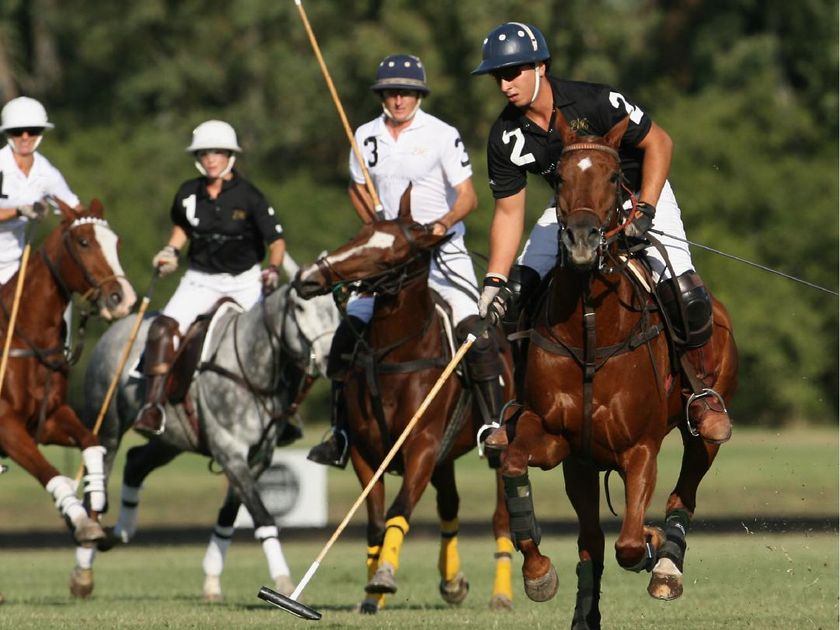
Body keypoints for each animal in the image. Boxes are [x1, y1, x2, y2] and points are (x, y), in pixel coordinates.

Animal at [0, 199, 136, 549]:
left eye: (116, 243)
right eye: (83, 242)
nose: (123, 298)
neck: (28, 338)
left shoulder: (47, 419)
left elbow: (90, 441)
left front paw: (96, 505)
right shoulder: (6, 426)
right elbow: (52, 473)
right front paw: (81, 522)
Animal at [74, 255, 339, 599]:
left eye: (336, 306)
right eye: (300, 308)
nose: (330, 358)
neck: (252, 368)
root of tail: (118, 327)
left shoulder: (257, 457)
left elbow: (230, 515)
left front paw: (212, 580)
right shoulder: (229, 451)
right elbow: (262, 515)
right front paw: (283, 582)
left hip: (170, 440)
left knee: (135, 463)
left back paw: (120, 531)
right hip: (107, 427)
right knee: (97, 488)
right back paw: (83, 568)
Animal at [294, 197, 516, 613]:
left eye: (391, 255)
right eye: (359, 234)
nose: (307, 277)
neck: (393, 355)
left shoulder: (422, 446)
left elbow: (399, 510)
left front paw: (383, 577)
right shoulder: (366, 452)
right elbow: (375, 523)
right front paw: (371, 598)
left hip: (492, 448)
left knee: (500, 517)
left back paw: (502, 595)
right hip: (445, 456)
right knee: (450, 505)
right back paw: (453, 582)